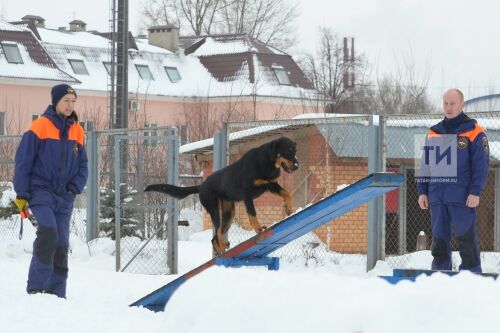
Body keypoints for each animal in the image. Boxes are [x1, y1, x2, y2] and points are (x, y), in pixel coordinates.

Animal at [146, 136, 300, 253]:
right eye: (287, 151)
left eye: (295, 151)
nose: (298, 166)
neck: (267, 162)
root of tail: (201, 186)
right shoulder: (247, 193)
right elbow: (252, 213)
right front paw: (258, 228)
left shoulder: (271, 185)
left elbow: (287, 194)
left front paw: (289, 209)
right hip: (214, 209)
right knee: (218, 233)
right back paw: (221, 247)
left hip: (229, 213)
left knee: (215, 237)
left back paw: (221, 248)